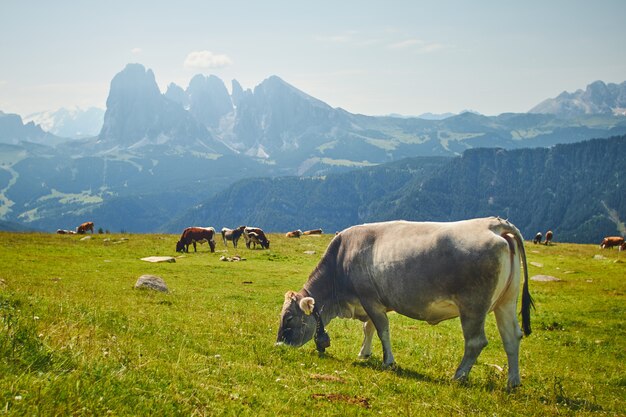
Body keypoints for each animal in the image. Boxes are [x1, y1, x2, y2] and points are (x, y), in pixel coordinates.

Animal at [276, 216, 532, 388]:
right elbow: (368, 328)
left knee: (476, 342)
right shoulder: (371, 302)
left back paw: (458, 376)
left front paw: (388, 361)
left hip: (473, 306)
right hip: (506, 301)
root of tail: (493, 224)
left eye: (289, 318)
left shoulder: (369, 299)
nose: (279, 345)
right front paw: (364, 353)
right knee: (512, 337)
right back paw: (513, 382)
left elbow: (382, 330)